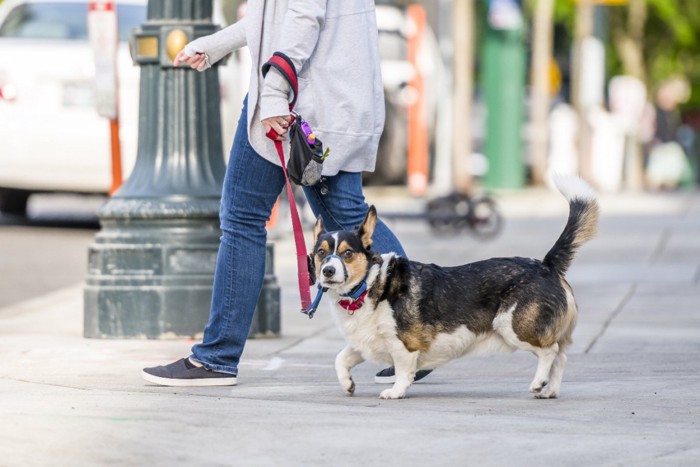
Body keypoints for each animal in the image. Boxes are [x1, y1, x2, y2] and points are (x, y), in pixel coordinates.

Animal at [308, 174, 600, 400]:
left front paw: (396, 391)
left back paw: (538, 383)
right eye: (320, 253)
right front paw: (348, 384)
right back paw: (549, 391)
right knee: (561, 357)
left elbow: (402, 370)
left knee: (550, 352)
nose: (327, 271)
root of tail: (546, 265)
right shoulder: (363, 343)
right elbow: (340, 359)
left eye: (347, 253)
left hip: (514, 326)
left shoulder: (403, 345)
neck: (368, 286)